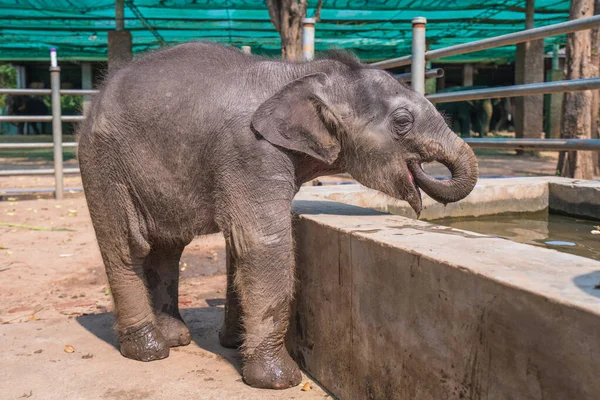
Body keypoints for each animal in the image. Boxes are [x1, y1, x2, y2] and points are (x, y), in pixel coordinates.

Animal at [77, 42, 476, 390]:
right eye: (403, 121)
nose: (423, 173)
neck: (302, 74)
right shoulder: (250, 150)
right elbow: (263, 243)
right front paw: (279, 380)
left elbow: (238, 244)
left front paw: (232, 344)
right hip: (103, 163)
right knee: (126, 246)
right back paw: (149, 350)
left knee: (168, 248)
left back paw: (175, 338)